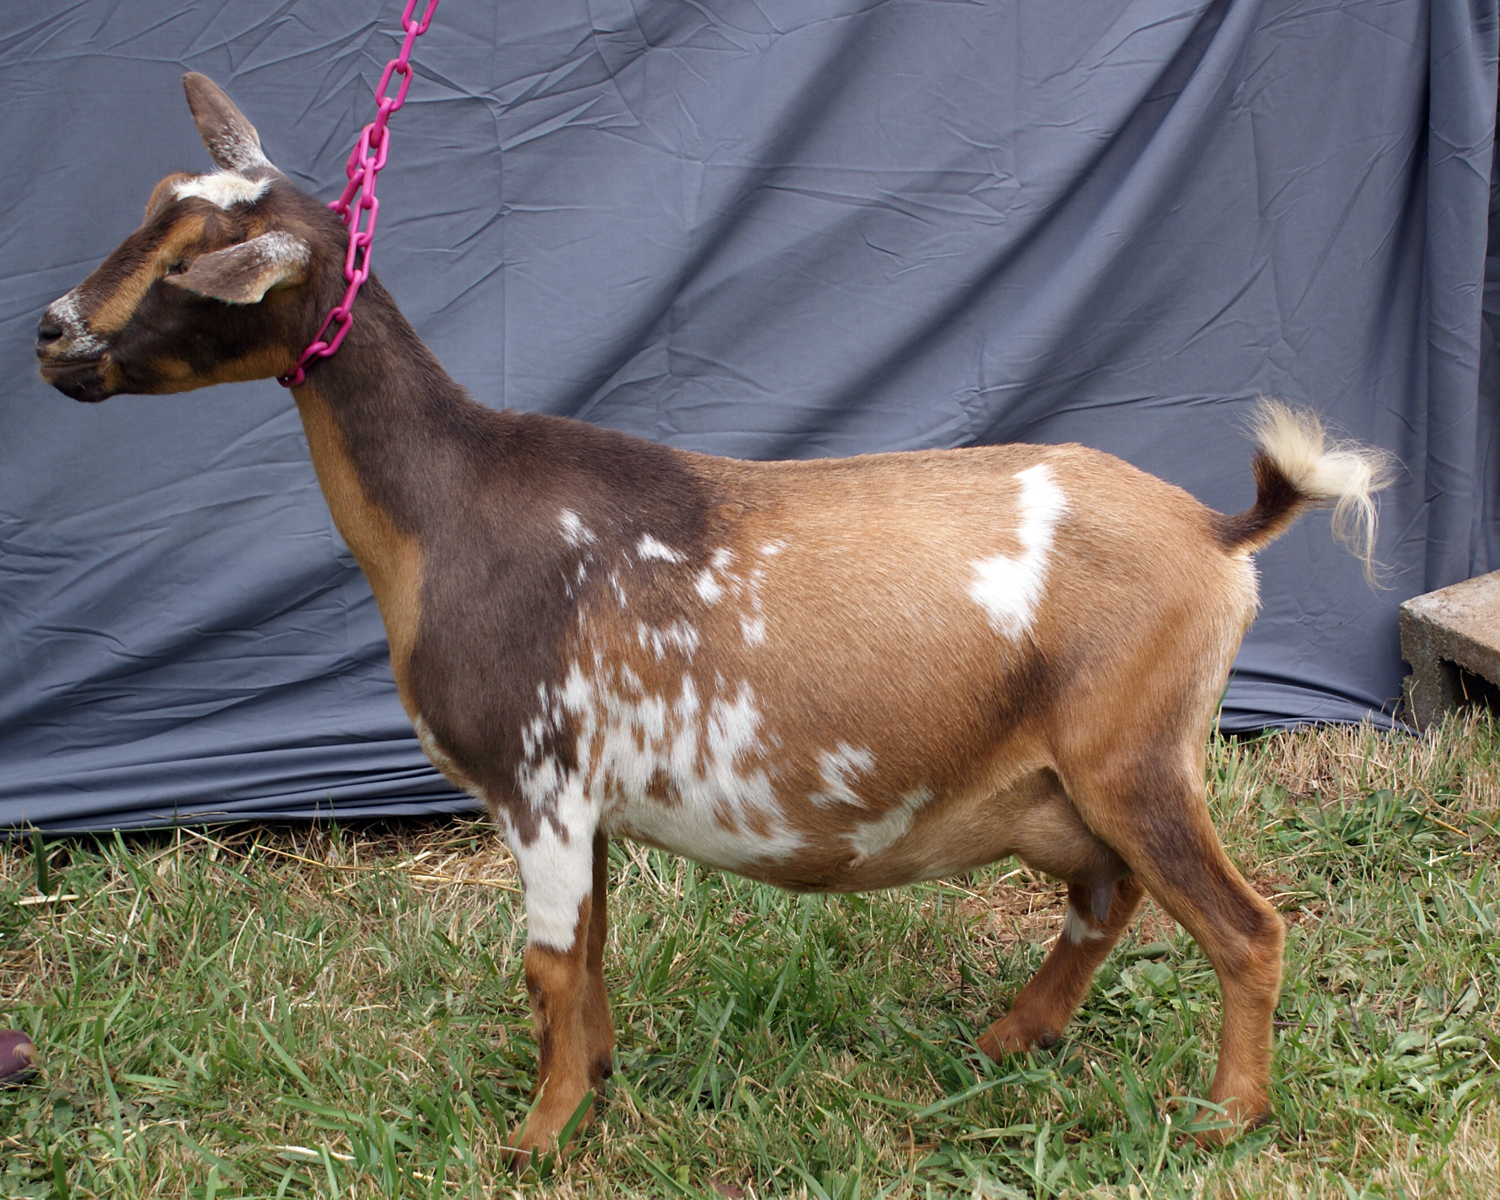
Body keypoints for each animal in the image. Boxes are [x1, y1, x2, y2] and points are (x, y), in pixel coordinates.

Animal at [37, 75, 1392, 1161]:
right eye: (155, 203)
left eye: (198, 263)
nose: (52, 333)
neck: (449, 505)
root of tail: (1219, 534)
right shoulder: (583, 803)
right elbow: (587, 959)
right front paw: (593, 1088)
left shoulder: (536, 782)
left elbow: (545, 967)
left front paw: (535, 1140)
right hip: (1066, 785)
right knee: (1107, 898)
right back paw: (1009, 1042)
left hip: (1135, 756)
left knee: (1243, 929)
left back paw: (1223, 1118)